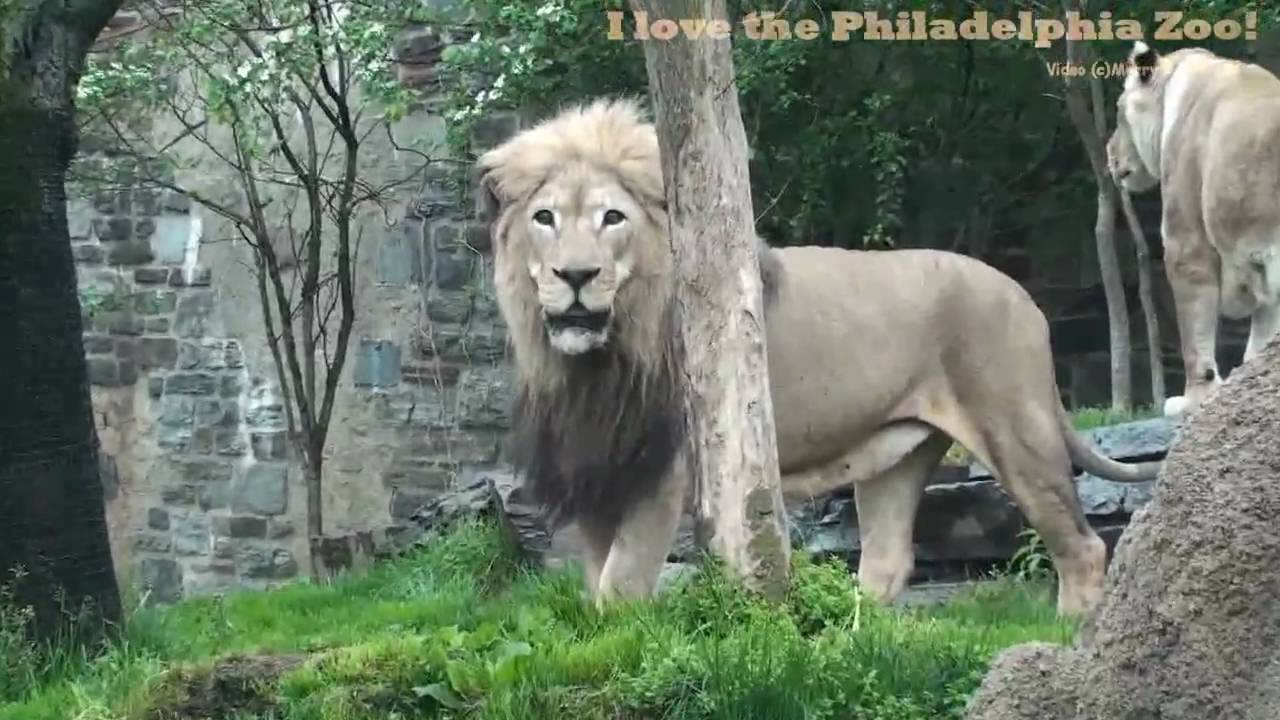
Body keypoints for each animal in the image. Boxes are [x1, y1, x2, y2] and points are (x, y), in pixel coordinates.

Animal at [477, 98, 1162, 618]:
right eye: (545, 218)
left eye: (612, 218)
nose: (575, 275)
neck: (592, 364)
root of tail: (1025, 297)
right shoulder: (599, 471)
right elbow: (597, 584)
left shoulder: (660, 474)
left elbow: (620, 587)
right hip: (898, 455)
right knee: (888, 560)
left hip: (1017, 430)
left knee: (1081, 546)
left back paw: (1073, 633)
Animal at [1109, 41, 1280, 417]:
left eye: (1118, 112)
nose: (1109, 155)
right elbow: (1265, 325)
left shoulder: (1186, 238)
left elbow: (1194, 327)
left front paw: (1193, 400)